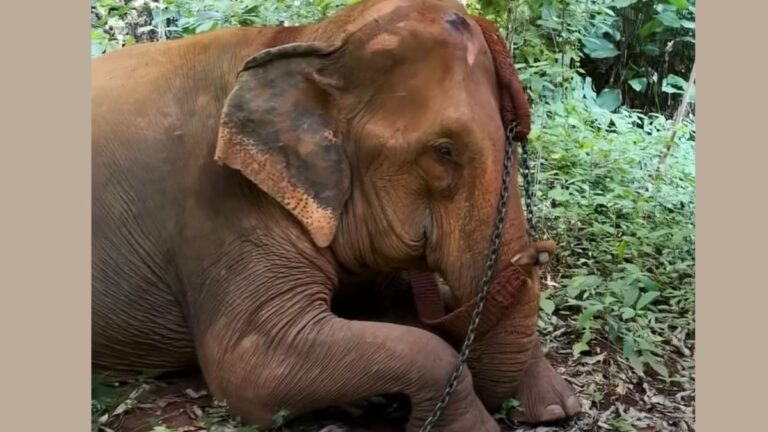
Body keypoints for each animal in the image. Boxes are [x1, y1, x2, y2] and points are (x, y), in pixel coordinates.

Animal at [91, 0, 580, 430]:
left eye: (515, 132)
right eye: (444, 152)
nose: (541, 251)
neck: (310, 38)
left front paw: (557, 408)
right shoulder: (219, 208)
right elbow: (247, 365)